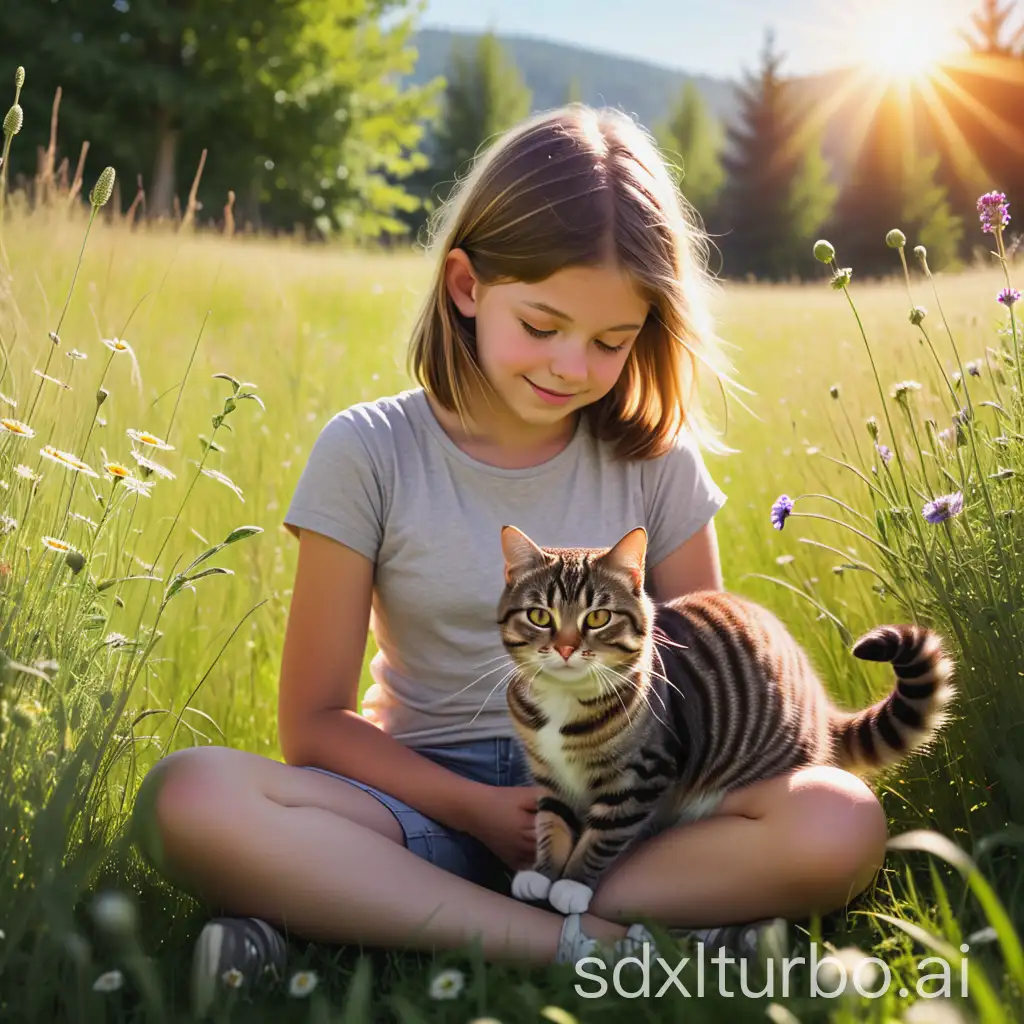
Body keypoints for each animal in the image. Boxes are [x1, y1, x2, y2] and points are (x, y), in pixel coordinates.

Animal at [495, 524, 950, 917]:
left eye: (596, 618)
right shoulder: (549, 773)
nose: (565, 648)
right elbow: (552, 819)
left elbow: (603, 834)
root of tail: (820, 707)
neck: (562, 700)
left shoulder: (643, 774)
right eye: (540, 616)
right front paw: (543, 873)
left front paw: (571, 883)